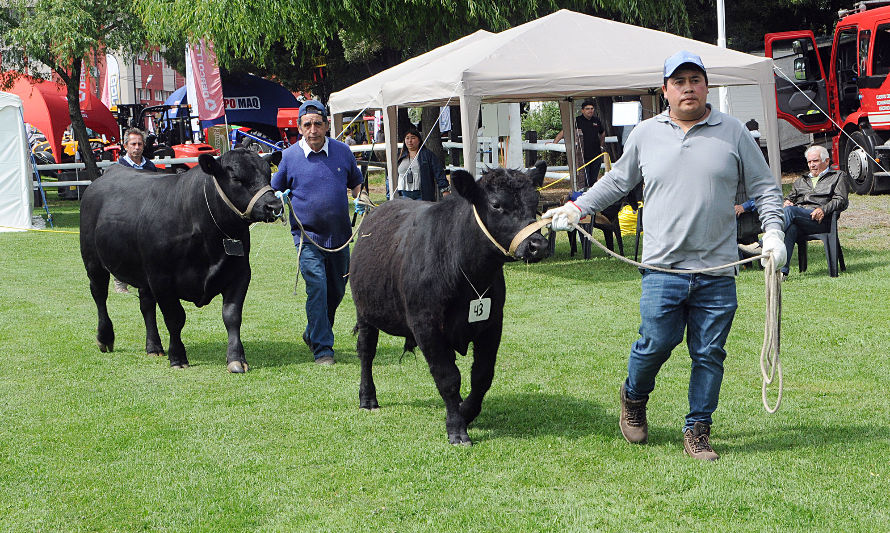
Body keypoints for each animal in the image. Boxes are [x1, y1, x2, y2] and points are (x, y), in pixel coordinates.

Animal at [80, 145, 282, 370]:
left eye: (267, 174)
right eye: (236, 178)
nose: (273, 206)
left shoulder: (240, 273)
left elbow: (232, 315)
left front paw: (236, 358)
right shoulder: (161, 279)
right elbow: (175, 318)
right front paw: (177, 357)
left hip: (143, 273)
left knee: (146, 305)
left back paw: (154, 347)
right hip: (94, 262)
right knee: (100, 296)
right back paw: (105, 338)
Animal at [346, 163, 548, 444]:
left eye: (535, 202)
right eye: (496, 204)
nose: (537, 245)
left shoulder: (492, 323)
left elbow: (482, 375)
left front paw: (465, 411)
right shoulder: (426, 326)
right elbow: (448, 377)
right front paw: (457, 428)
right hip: (364, 312)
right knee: (366, 352)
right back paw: (367, 398)